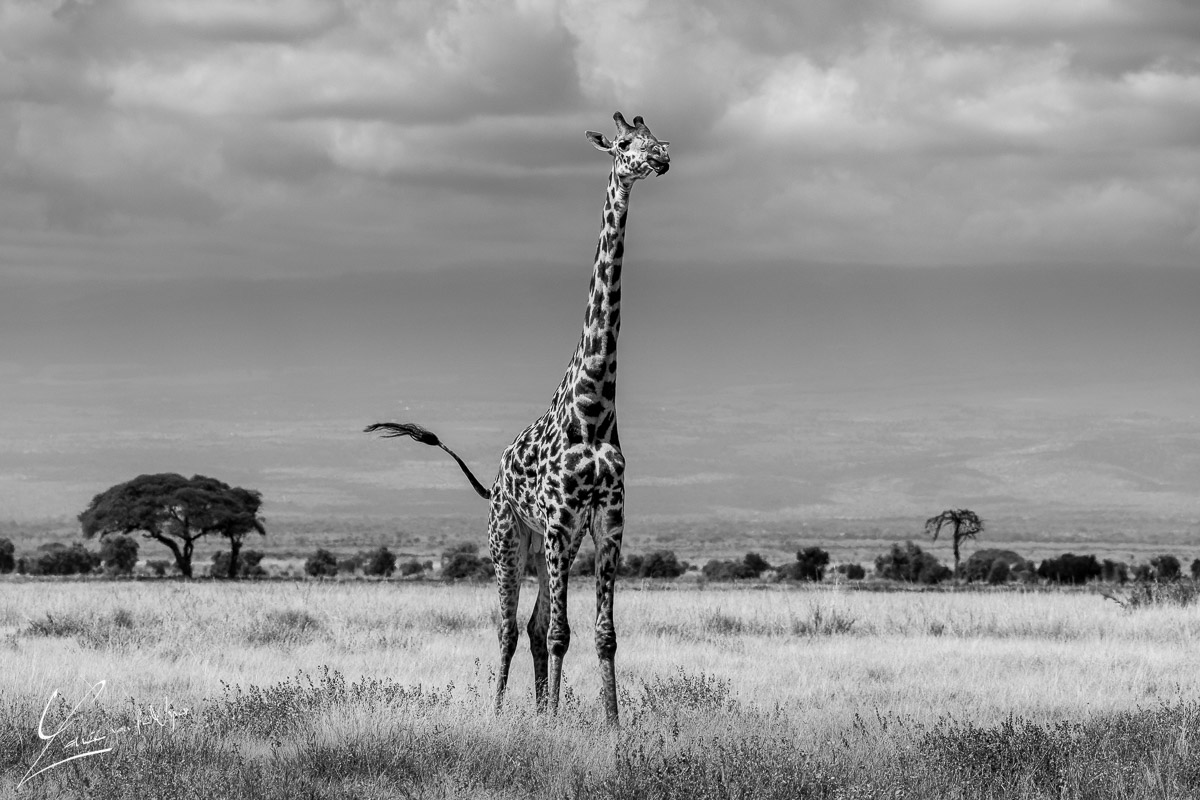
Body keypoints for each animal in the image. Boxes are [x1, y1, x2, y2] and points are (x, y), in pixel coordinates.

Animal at [366, 111, 669, 724]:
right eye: (626, 144)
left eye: (658, 137)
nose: (660, 160)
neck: (595, 407)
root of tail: (495, 480)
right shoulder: (558, 518)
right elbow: (560, 633)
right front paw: (553, 724)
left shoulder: (607, 520)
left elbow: (601, 634)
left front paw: (610, 725)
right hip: (508, 535)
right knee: (509, 627)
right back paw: (501, 711)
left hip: (549, 543)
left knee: (530, 624)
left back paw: (536, 710)